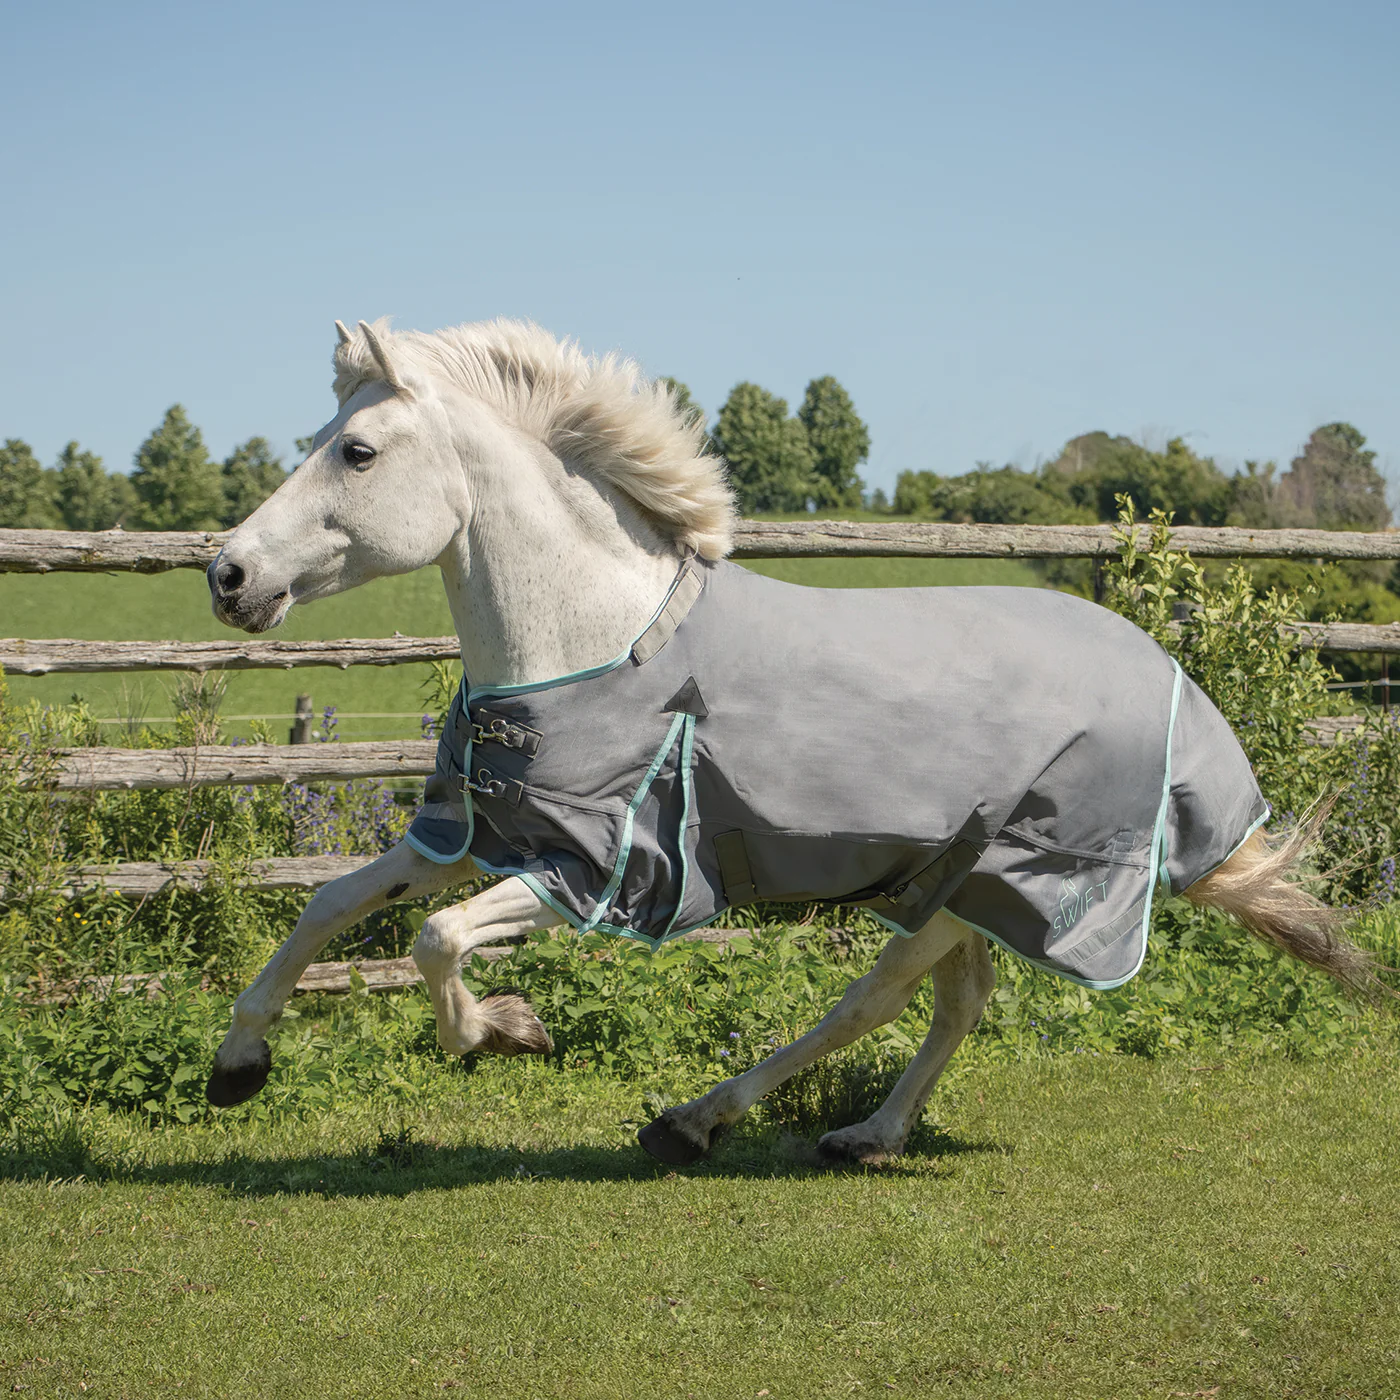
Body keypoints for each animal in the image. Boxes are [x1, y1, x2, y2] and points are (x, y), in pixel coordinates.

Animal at [204, 317, 1371, 1165]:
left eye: (355, 451)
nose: (227, 575)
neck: (596, 641)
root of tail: (1169, 680)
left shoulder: (604, 867)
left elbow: (436, 940)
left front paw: (506, 1031)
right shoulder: (480, 833)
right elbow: (330, 906)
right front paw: (237, 1063)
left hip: (990, 877)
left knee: (877, 999)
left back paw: (700, 1120)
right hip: (956, 885)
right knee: (955, 1005)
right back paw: (863, 1134)